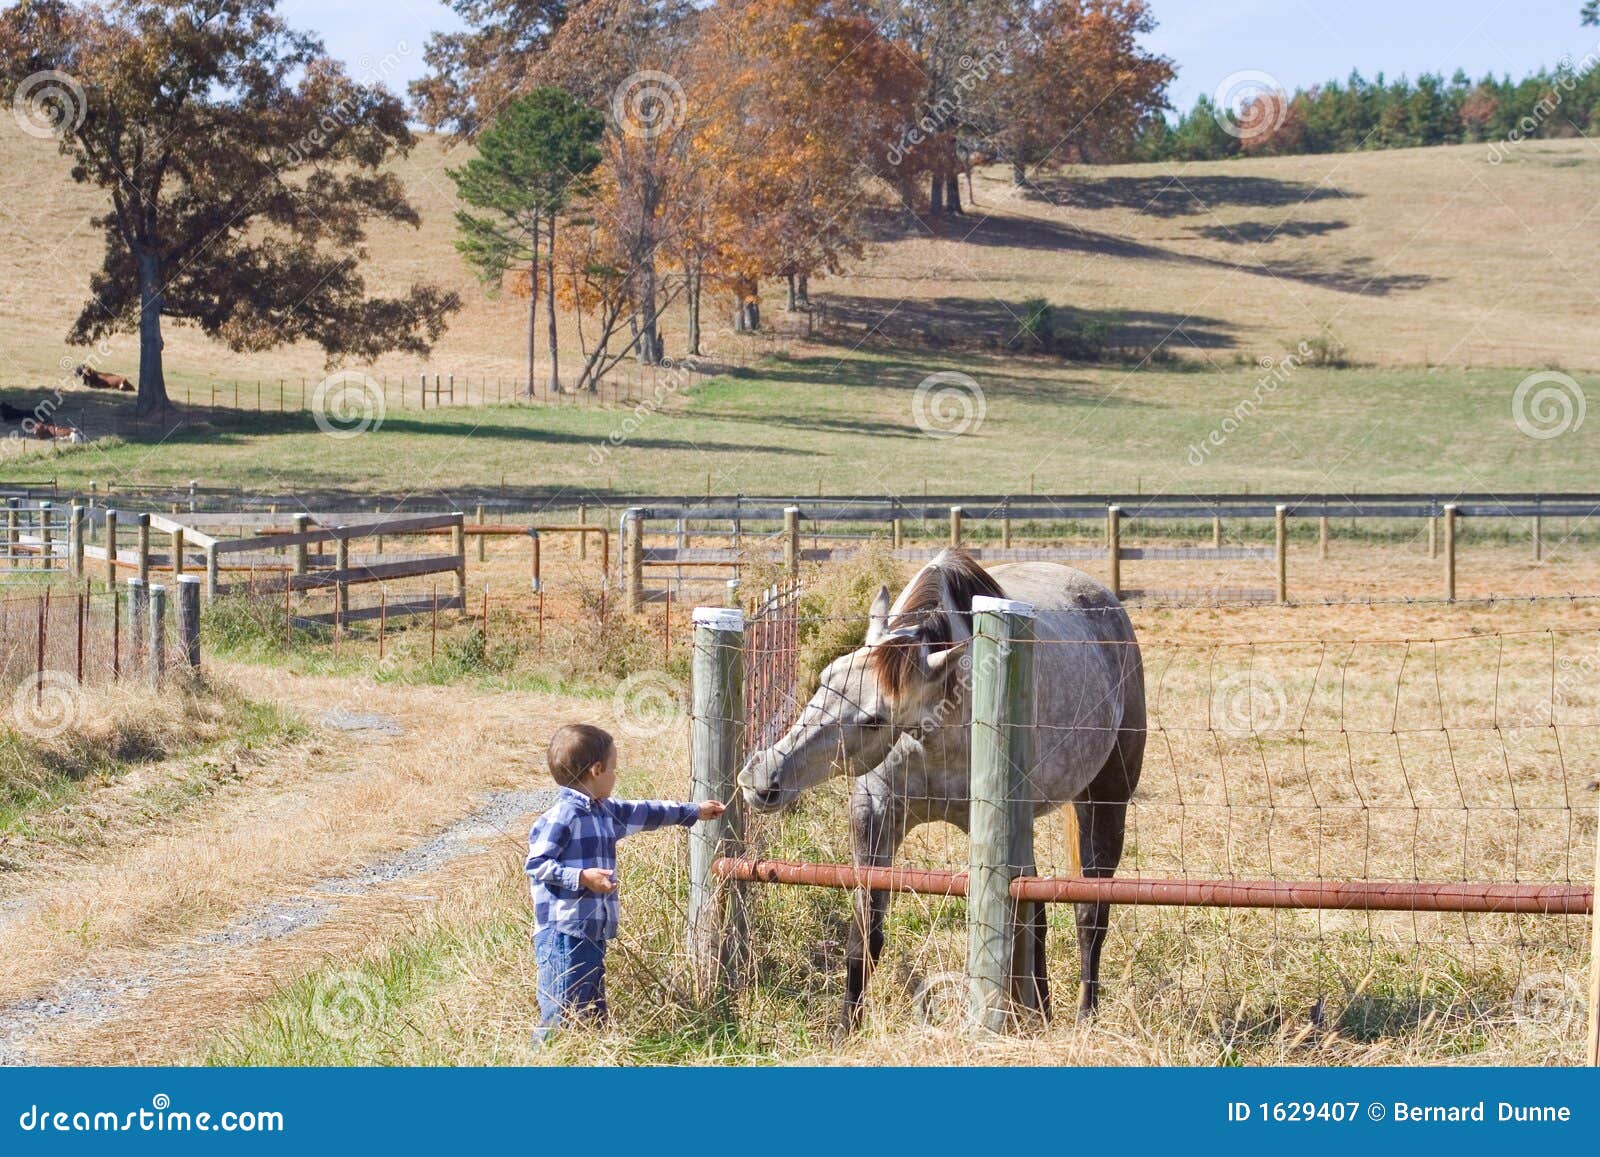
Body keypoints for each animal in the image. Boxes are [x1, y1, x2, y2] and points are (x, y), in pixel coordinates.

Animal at [742, 553, 1145, 1030]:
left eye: (874, 720)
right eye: (826, 677)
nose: (763, 777)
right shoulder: (874, 815)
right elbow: (865, 938)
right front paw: (845, 1031)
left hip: (1103, 801)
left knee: (1089, 915)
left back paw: (1083, 1016)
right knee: (1039, 915)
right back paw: (1041, 1013)